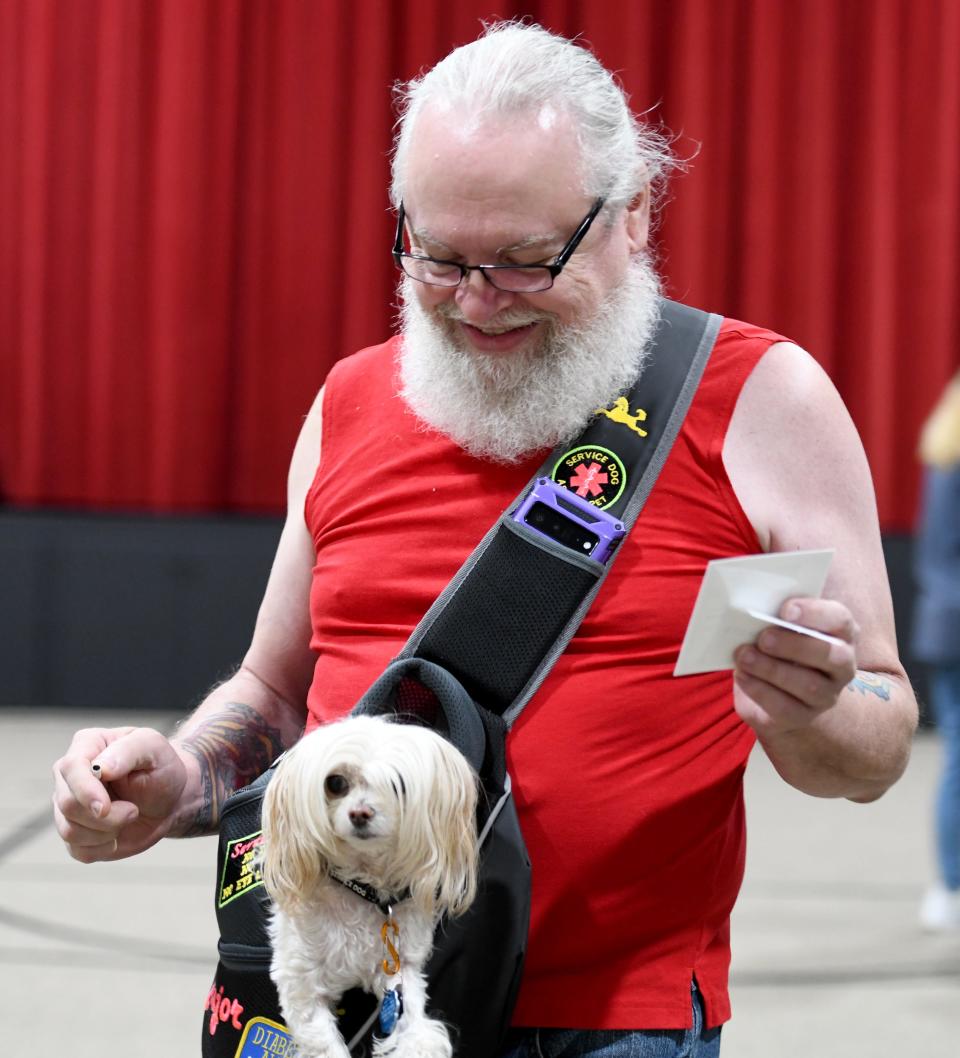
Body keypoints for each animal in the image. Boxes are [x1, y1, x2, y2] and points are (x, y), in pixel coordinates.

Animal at [261, 715, 478, 1058]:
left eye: (398, 785)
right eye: (335, 783)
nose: (360, 813)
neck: (363, 889)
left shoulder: (399, 970)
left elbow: (413, 1014)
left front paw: (418, 1044)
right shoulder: (301, 981)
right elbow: (322, 1040)